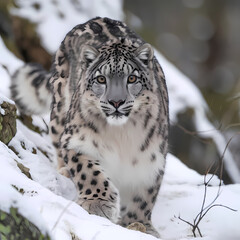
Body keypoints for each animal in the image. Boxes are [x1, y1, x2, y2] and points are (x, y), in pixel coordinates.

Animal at [11, 16, 169, 238]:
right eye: (101, 79)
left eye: (132, 78)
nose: (116, 102)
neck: (122, 137)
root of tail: (97, 18)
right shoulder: (77, 141)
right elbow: (89, 172)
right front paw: (98, 205)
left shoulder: (152, 159)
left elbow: (144, 196)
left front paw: (139, 224)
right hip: (59, 113)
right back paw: (64, 171)